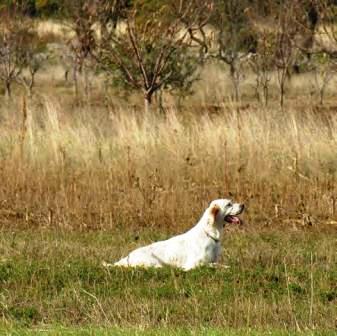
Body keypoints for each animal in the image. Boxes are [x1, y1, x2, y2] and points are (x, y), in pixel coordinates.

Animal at [107, 200, 242, 270]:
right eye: (229, 204)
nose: (243, 205)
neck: (209, 234)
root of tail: (125, 258)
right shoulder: (192, 264)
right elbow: (213, 265)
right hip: (152, 262)